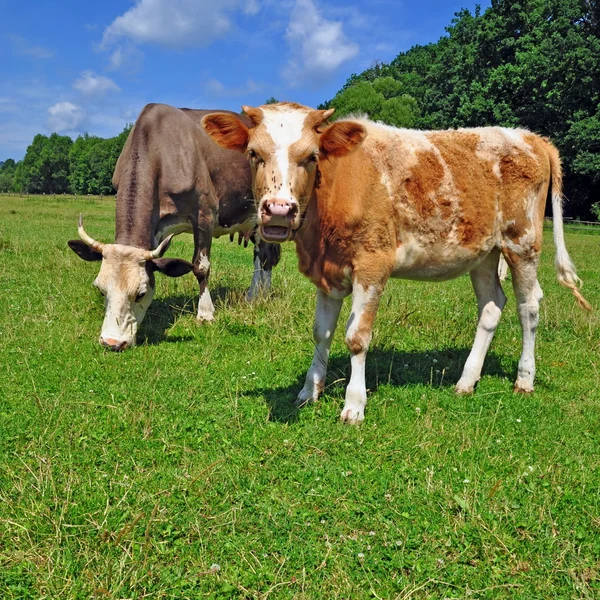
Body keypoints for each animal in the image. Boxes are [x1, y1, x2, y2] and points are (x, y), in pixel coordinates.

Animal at [69, 102, 280, 352]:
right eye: (100, 289)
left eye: (140, 293)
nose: (112, 342)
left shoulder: (205, 215)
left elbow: (201, 266)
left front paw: (205, 313)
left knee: (264, 255)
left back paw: (258, 295)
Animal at [202, 102, 592, 422]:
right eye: (254, 153)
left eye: (312, 156)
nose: (279, 210)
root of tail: (530, 137)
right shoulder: (327, 270)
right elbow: (321, 332)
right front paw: (309, 391)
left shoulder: (373, 266)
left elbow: (357, 337)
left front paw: (354, 405)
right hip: (484, 251)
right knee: (492, 306)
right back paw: (466, 381)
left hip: (522, 242)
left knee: (529, 307)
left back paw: (524, 378)